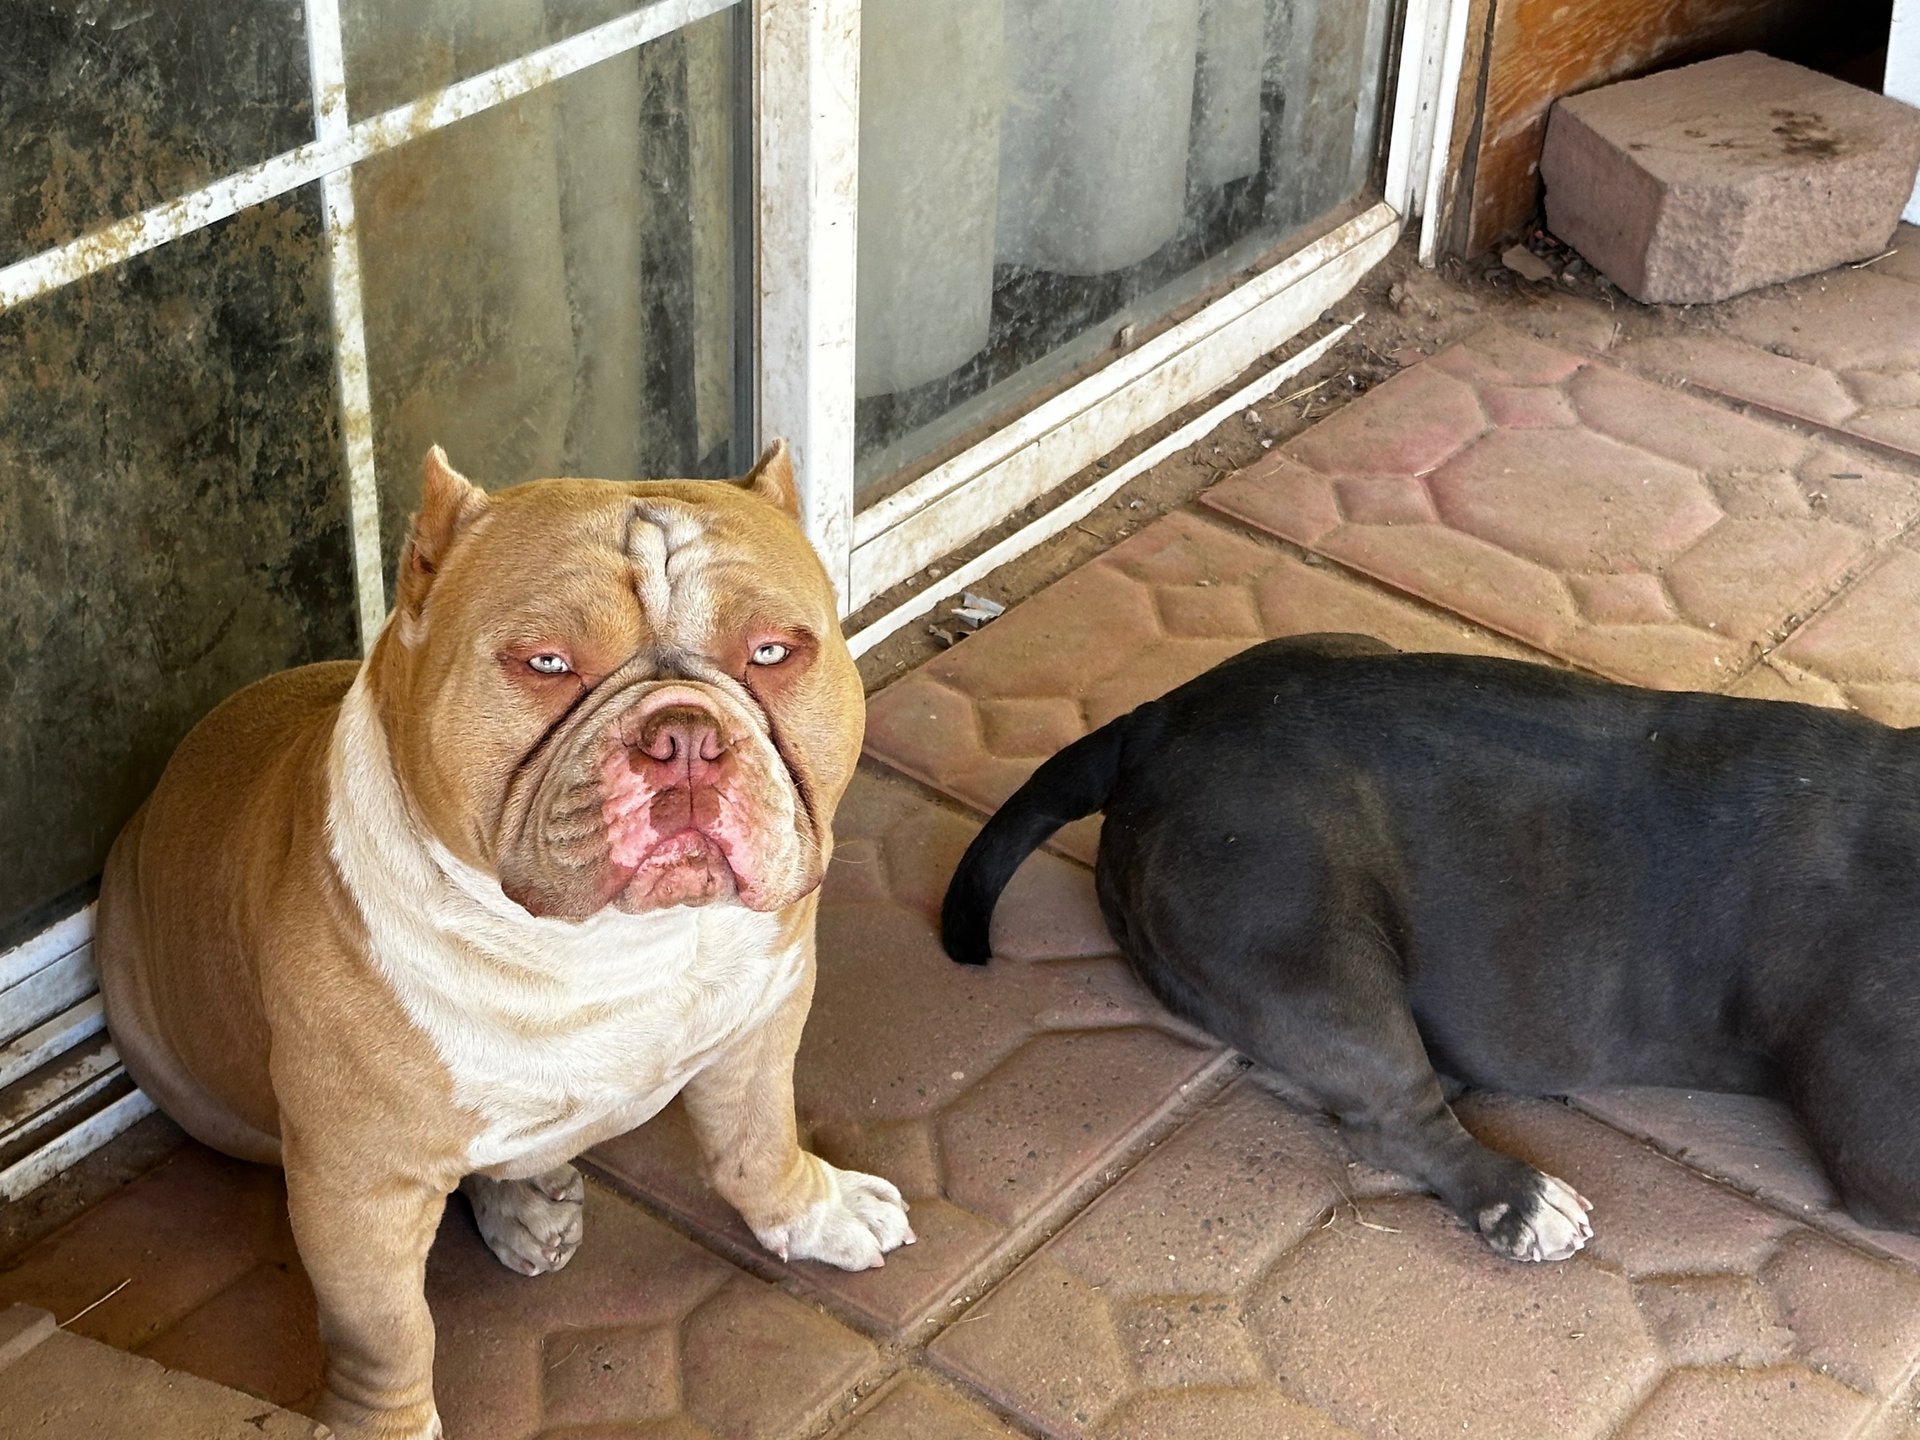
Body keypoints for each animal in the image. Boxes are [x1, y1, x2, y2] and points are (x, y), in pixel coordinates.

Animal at [97, 445, 913, 1436]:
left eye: (771, 652)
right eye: (546, 663)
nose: (684, 737)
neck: (605, 947)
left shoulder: (764, 1021)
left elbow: (756, 1145)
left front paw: (813, 1209)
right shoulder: (354, 1188)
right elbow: (386, 1334)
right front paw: (386, 1422)